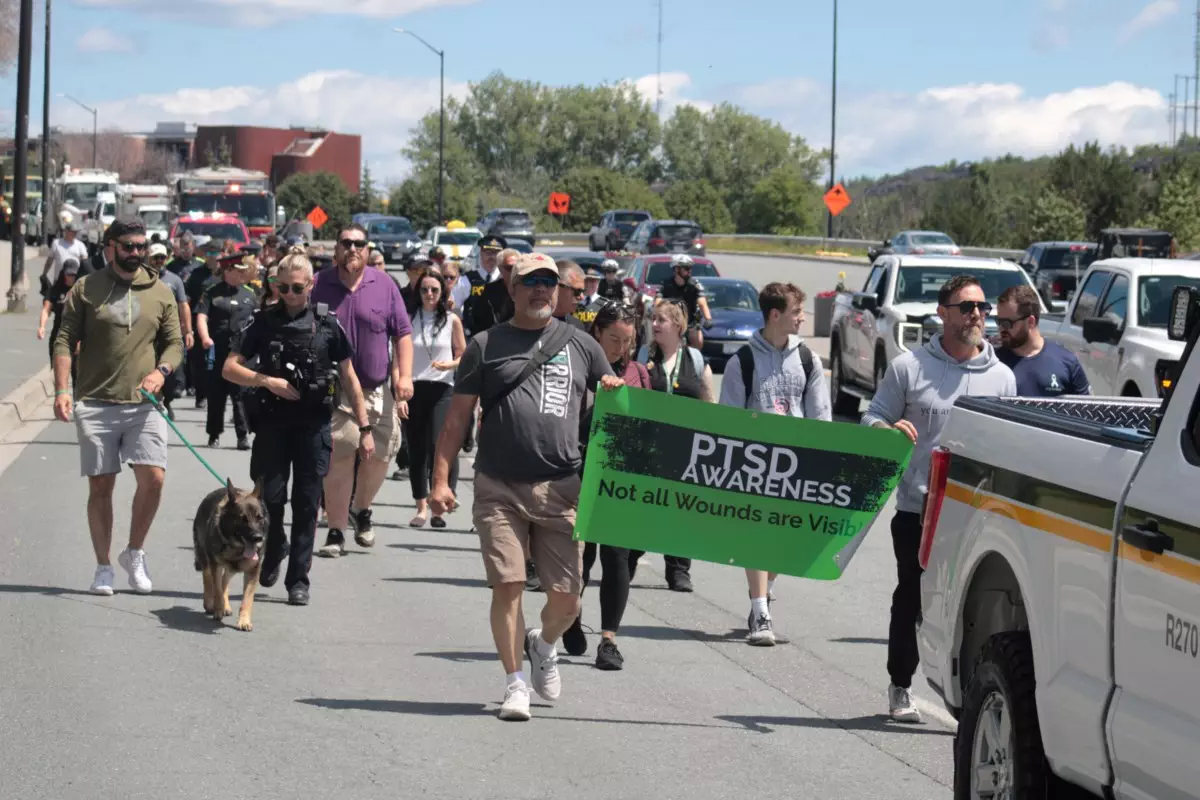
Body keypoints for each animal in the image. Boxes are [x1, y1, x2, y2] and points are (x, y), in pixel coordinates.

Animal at [194, 474, 267, 633]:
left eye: (259, 518)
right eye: (243, 519)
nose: (258, 538)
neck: (236, 547)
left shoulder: (253, 571)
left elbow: (247, 599)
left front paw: (244, 621)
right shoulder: (215, 565)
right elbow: (217, 589)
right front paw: (218, 609)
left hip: (231, 568)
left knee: (224, 580)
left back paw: (225, 605)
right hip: (206, 559)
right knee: (208, 579)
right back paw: (210, 603)